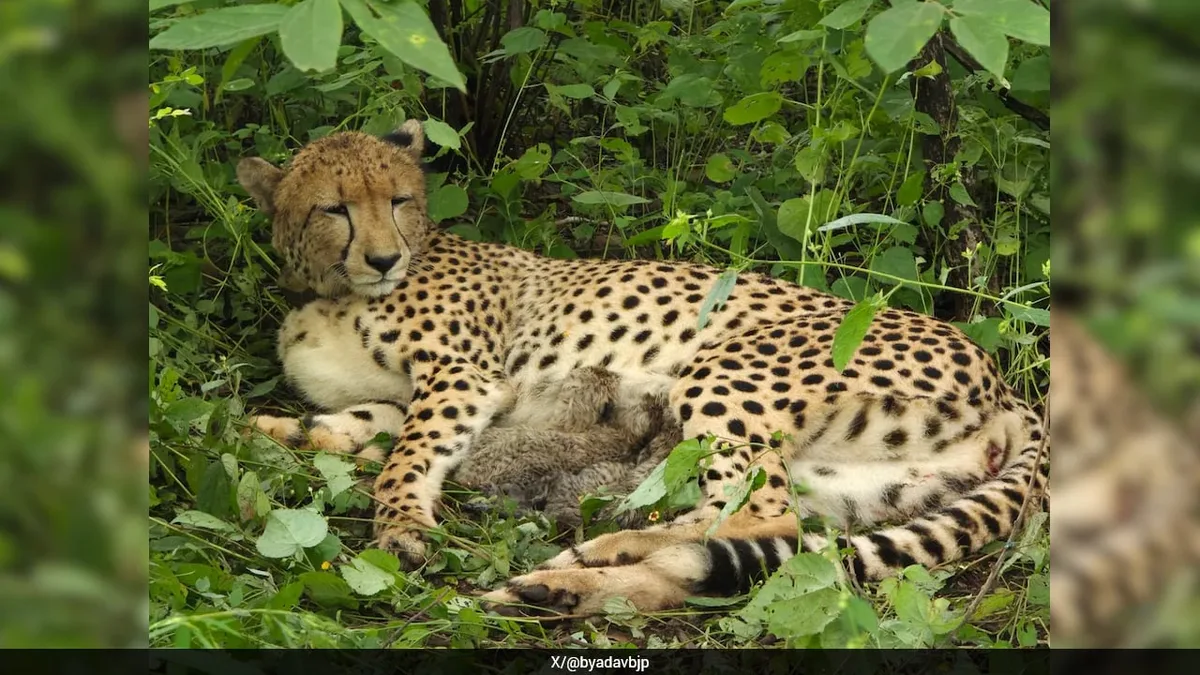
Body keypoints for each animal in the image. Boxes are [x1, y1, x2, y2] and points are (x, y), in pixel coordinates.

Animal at [236, 119, 1049, 617]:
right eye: (334, 208)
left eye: (399, 199)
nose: (383, 258)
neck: (331, 290)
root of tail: (1007, 381)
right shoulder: (406, 396)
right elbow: (350, 425)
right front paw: (269, 432)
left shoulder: (462, 378)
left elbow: (404, 458)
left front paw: (400, 524)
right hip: (860, 481)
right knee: (748, 535)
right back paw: (572, 579)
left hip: (724, 369)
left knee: (762, 512)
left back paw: (585, 562)